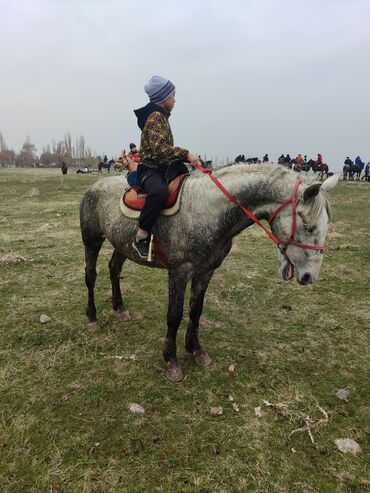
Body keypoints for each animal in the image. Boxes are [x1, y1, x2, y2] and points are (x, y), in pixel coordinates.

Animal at [80, 164, 338, 380]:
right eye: (308, 226)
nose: (309, 277)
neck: (206, 211)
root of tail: (94, 186)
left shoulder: (206, 272)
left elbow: (196, 311)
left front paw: (196, 351)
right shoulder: (179, 272)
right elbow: (174, 316)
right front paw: (171, 361)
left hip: (121, 244)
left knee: (114, 269)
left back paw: (120, 309)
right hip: (92, 239)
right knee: (90, 276)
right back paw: (92, 319)